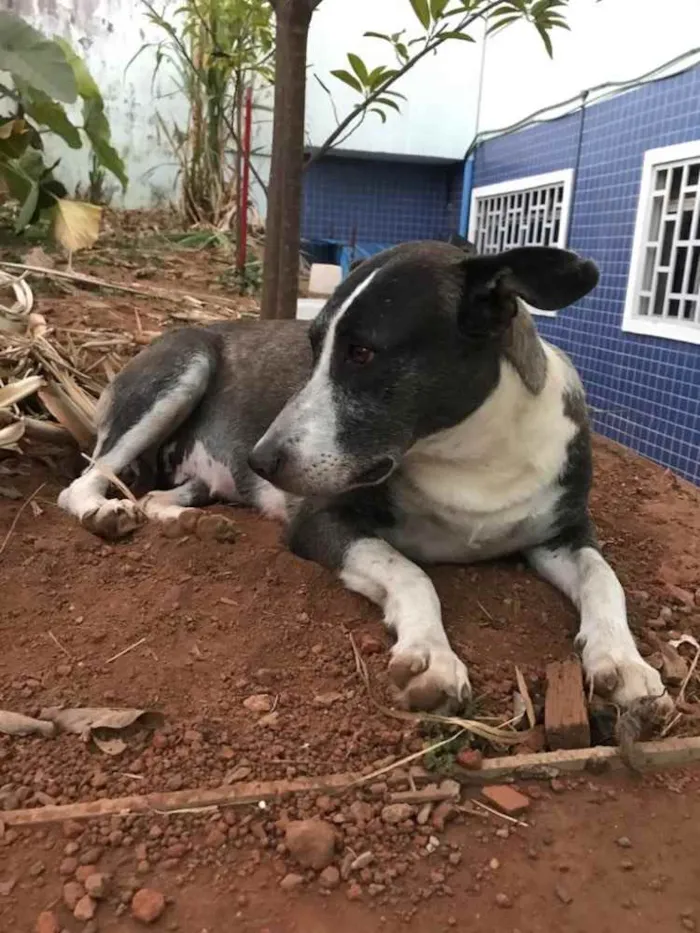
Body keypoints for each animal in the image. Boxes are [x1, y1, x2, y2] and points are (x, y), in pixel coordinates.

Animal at [57, 240, 668, 720]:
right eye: (312, 347)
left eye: (363, 352)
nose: (260, 460)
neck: (469, 457)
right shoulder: (320, 519)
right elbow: (411, 574)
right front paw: (432, 656)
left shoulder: (563, 531)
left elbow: (604, 579)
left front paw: (623, 660)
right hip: (183, 367)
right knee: (86, 478)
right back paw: (105, 511)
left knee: (162, 494)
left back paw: (187, 520)